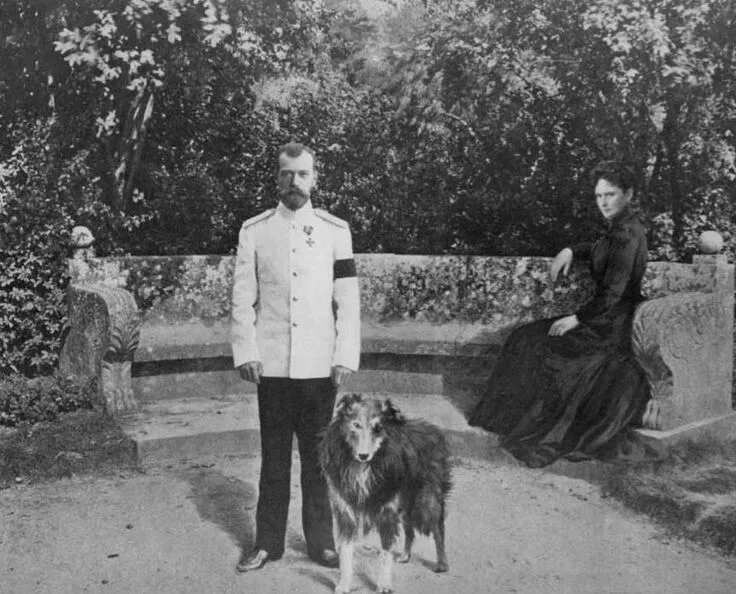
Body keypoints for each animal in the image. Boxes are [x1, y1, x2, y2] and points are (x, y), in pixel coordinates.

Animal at [318, 393, 452, 594]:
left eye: (378, 428)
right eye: (356, 424)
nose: (363, 455)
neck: (363, 469)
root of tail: (433, 429)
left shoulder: (388, 513)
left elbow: (385, 553)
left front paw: (384, 585)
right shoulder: (346, 511)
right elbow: (346, 553)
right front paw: (344, 584)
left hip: (428, 499)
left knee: (438, 528)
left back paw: (442, 564)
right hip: (405, 503)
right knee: (409, 529)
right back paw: (405, 555)